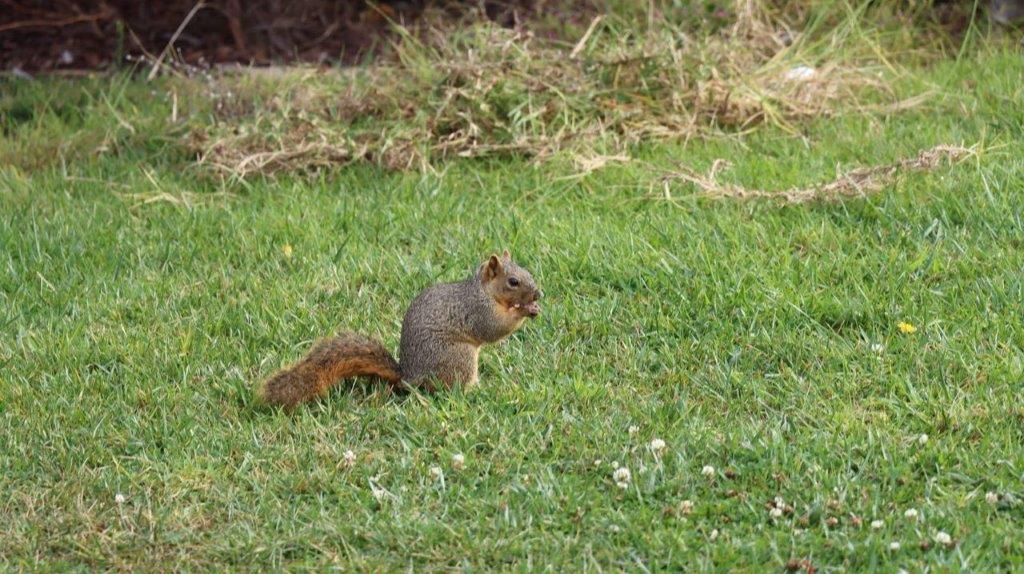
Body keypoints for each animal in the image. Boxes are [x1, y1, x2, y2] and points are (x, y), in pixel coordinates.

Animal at [260, 250, 540, 407]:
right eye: (513, 281)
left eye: (527, 271)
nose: (539, 294)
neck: (482, 290)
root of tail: (409, 377)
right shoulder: (476, 310)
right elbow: (493, 329)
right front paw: (524, 310)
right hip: (458, 357)